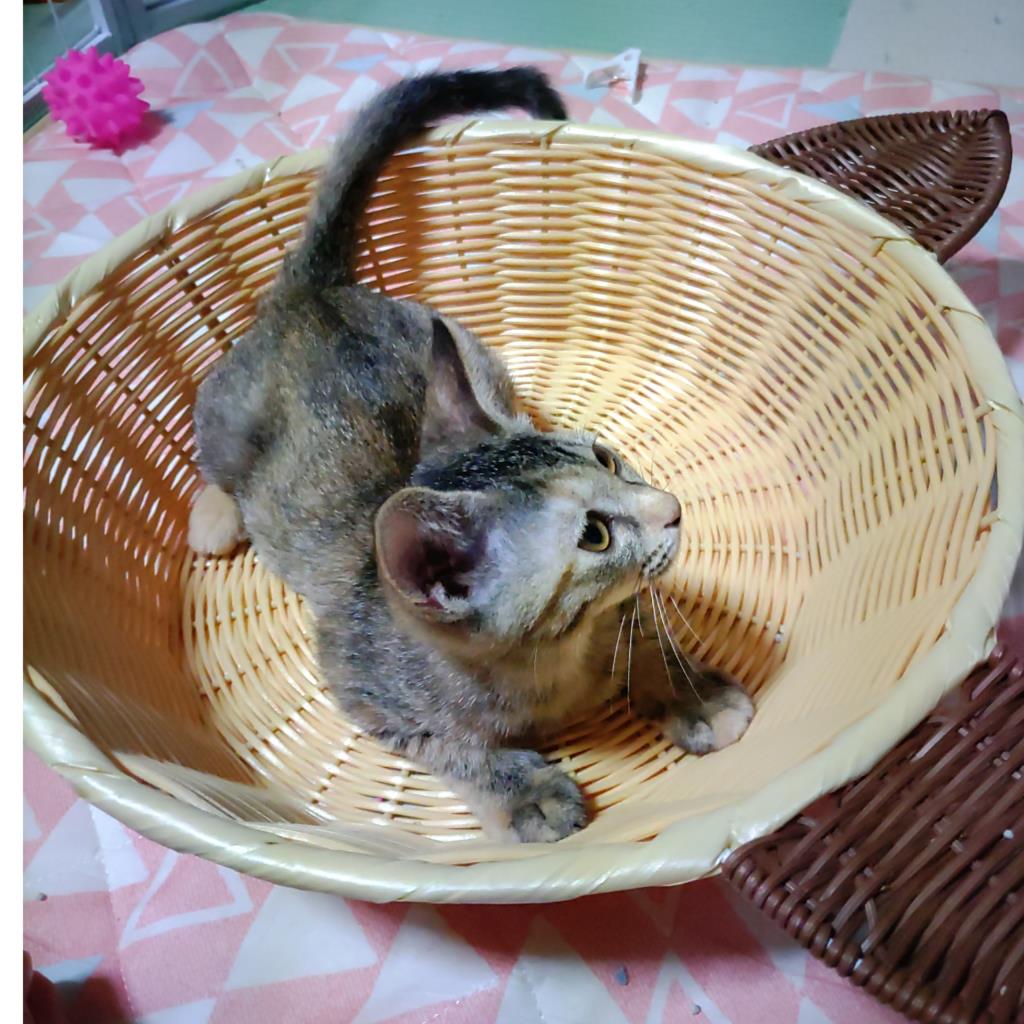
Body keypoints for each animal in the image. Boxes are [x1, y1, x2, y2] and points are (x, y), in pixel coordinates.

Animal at [190, 68, 754, 843]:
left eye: (607, 460)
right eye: (594, 536)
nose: (670, 508)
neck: (553, 665)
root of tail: (312, 293)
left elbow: (640, 635)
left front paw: (692, 692)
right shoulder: (359, 684)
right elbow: (452, 746)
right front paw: (527, 793)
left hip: (468, 347)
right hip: (227, 421)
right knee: (216, 463)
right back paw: (215, 517)